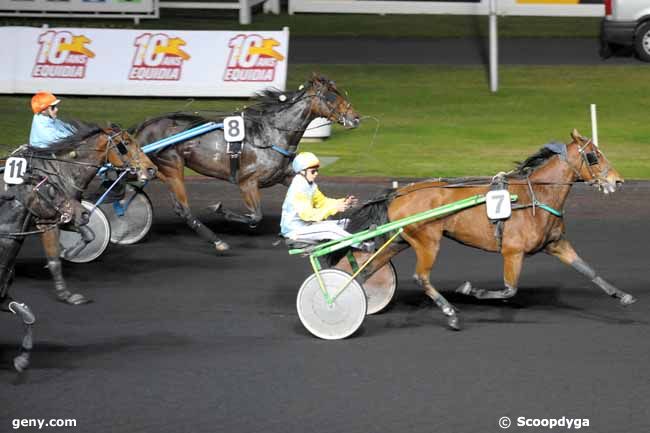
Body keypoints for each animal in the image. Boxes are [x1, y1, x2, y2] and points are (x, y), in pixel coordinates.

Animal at [26, 120, 158, 304]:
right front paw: (66, 294)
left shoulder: (70, 216)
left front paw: (69, 252)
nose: (152, 169)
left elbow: (89, 234)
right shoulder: (47, 222)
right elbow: (53, 259)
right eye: (126, 143)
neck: (61, 172)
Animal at [130, 73, 360, 250]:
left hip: (158, 170)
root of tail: (144, 126)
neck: (270, 134)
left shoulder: (284, 176)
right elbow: (255, 216)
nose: (355, 117)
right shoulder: (247, 181)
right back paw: (217, 241)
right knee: (182, 209)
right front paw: (220, 210)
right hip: (172, 167)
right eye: (331, 97)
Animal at [344, 130, 632, 330]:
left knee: (368, 269)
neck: (536, 197)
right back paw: (450, 313)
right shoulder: (512, 252)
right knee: (421, 277)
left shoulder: (556, 244)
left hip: (400, 240)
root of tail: (400, 192)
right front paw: (470, 290)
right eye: (594, 156)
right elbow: (509, 289)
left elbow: (589, 271)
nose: (617, 180)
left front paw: (623, 295)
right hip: (427, 241)